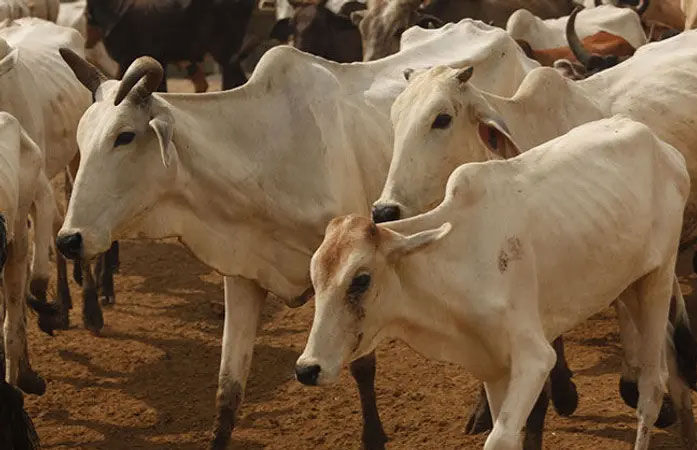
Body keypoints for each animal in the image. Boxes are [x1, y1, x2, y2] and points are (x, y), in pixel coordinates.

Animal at [56, 19, 537, 450]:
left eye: (124, 136)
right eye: (80, 135)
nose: (68, 240)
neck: (265, 154)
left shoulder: (358, 267)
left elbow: (362, 367)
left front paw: (374, 436)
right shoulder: (243, 276)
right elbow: (228, 390)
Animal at [296, 116, 694, 450]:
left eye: (360, 280)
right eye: (315, 280)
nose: (306, 369)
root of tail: (662, 147)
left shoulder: (534, 358)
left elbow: (501, 438)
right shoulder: (492, 366)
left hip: (658, 279)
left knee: (652, 388)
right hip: (627, 286)